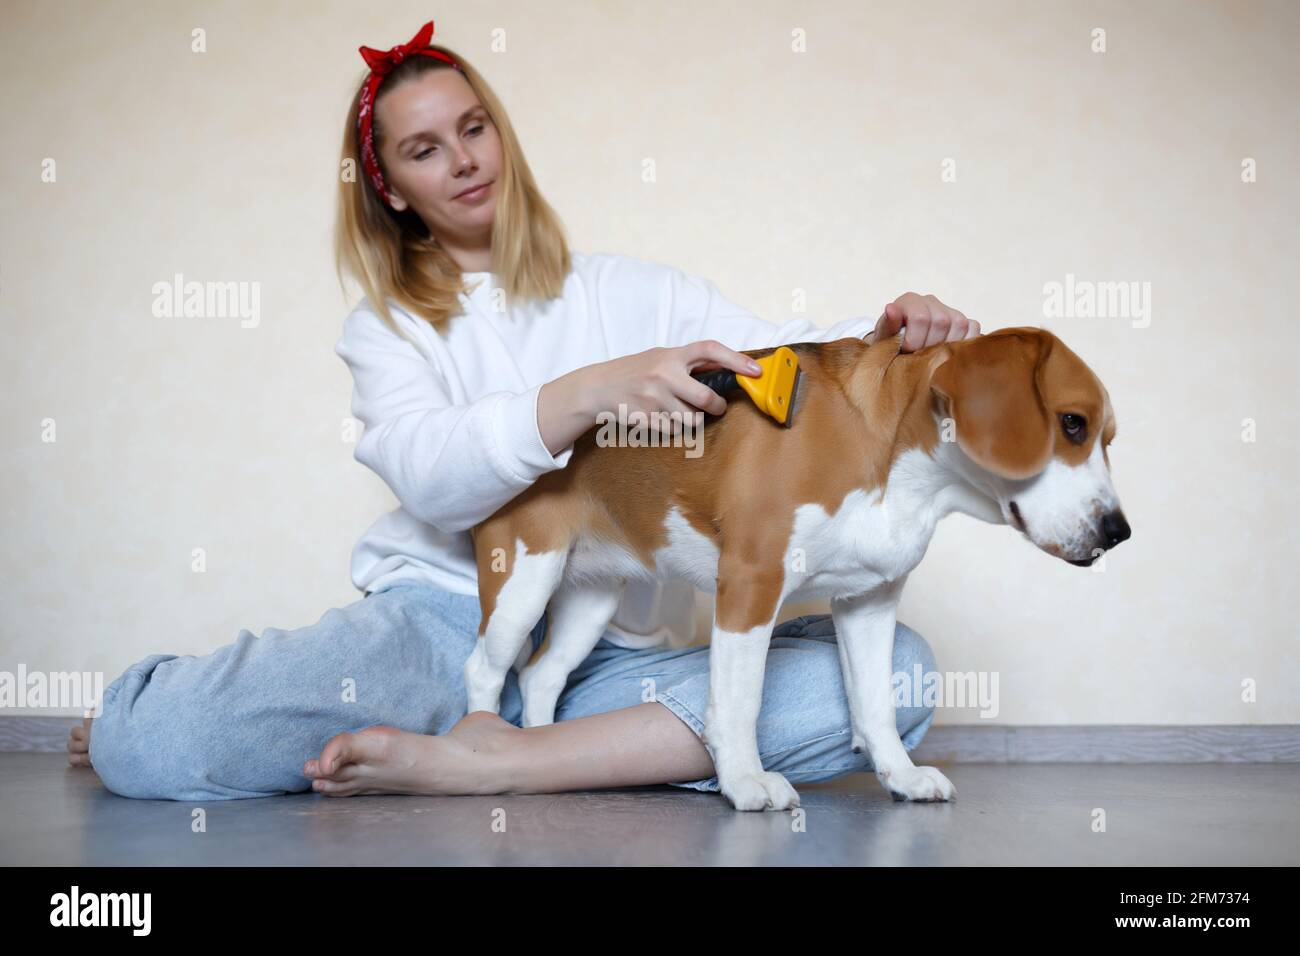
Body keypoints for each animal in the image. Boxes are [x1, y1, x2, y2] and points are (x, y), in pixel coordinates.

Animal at [465, 327, 1128, 806]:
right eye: (1072, 423)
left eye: (1109, 440)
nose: (1119, 532)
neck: (899, 466)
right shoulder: (750, 584)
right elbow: (741, 699)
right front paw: (744, 782)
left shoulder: (869, 602)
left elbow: (876, 705)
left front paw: (900, 776)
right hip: (523, 583)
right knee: (485, 671)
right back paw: (484, 740)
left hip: (592, 596)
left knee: (542, 676)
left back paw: (542, 750)